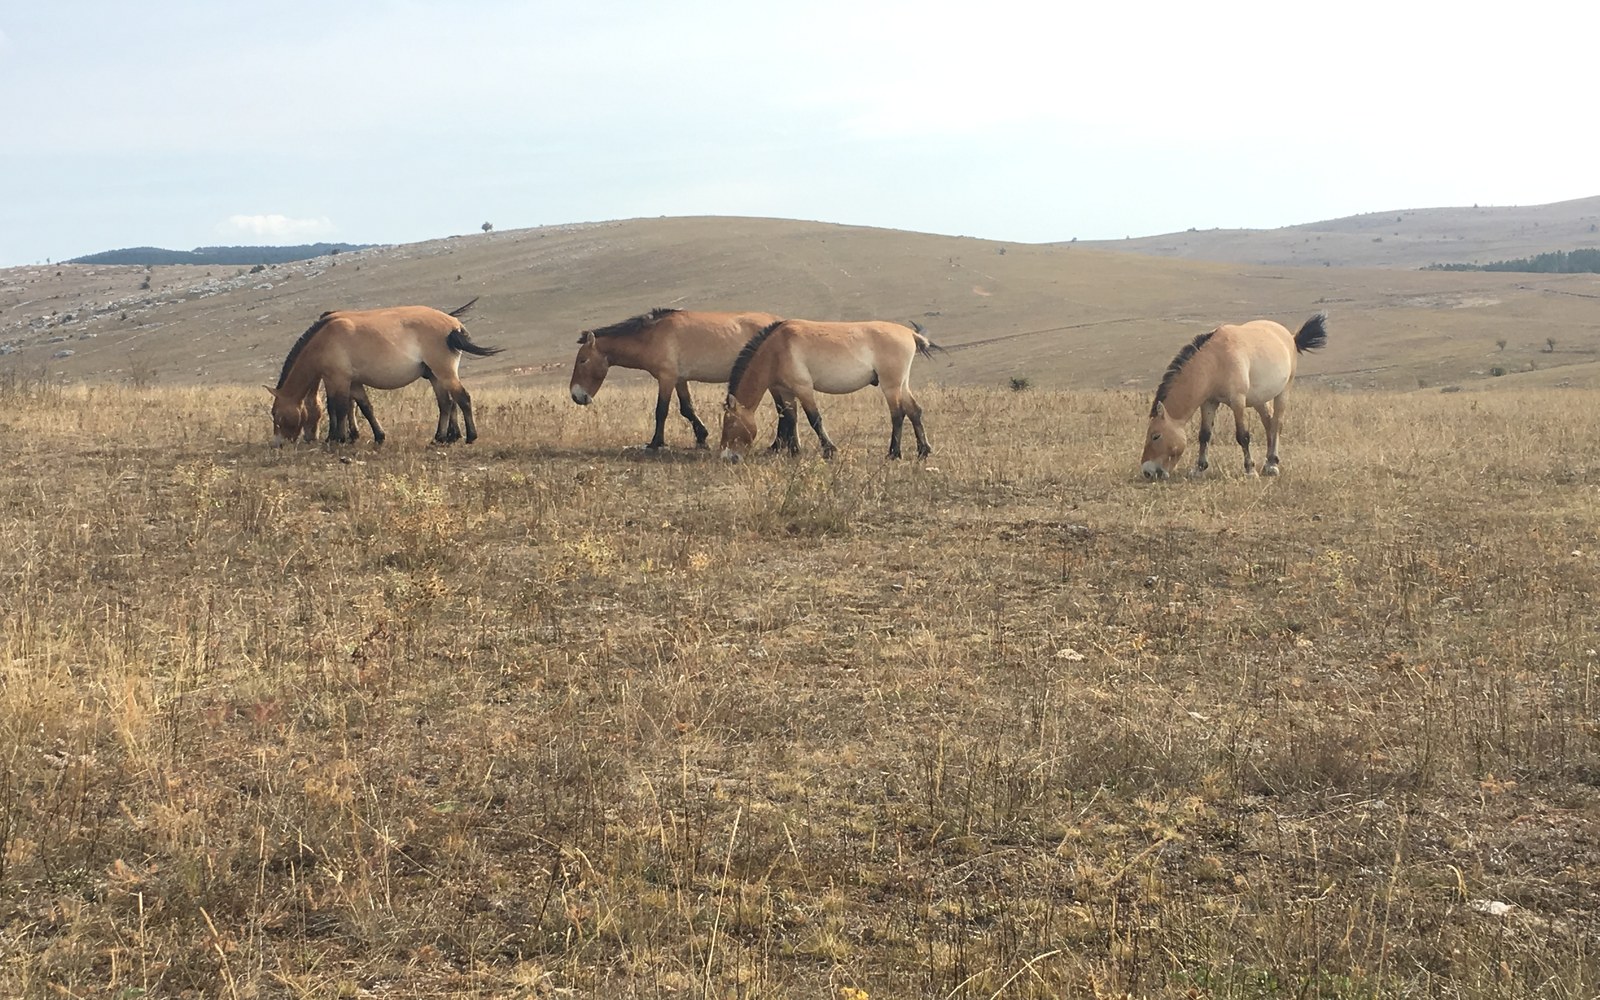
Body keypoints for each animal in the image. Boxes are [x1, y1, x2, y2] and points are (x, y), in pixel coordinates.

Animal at [269, 300, 502, 447]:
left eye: (276, 414)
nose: (277, 443)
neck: (324, 339)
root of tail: (454, 325)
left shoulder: (338, 379)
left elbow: (338, 407)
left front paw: (337, 438)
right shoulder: (353, 382)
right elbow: (365, 407)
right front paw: (378, 436)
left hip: (444, 373)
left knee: (462, 398)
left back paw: (470, 437)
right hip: (436, 376)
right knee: (446, 404)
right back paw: (440, 438)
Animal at [568, 307, 794, 450]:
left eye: (582, 360)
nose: (576, 395)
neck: (651, 336)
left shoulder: (666, 378)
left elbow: (661, 411)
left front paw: (656, 442)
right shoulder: (679, 380)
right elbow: (687, 408)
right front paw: (702, 437)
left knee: (783, 410)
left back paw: (778, 445)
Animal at [718, 319, 939, 462]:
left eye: (730, 424)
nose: (727, 456)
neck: (777, 347)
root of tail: (910, 333)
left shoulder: (803, 388)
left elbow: (814, 419)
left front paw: (829, 450)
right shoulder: (786, 391)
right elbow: (791, 418)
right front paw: (794, 451)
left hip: (891, 385)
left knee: (898, 414)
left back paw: (894, 453)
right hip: (902, 384)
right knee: (914, 411)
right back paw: (923, 451)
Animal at [1140, 313, 1328, 480]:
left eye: (1156, 436)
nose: (1147, 472)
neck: (1216, 361)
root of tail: (1291, 337)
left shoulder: (1238, 401)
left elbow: (1242, 436)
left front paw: (1250, 470)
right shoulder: (1209, 402)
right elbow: (1204, 435)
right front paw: (1199, 469)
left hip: (1283, 392)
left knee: (1277, 424)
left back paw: (1273, 465)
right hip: (1260, 399)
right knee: (1268, 423)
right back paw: (1268, 463)